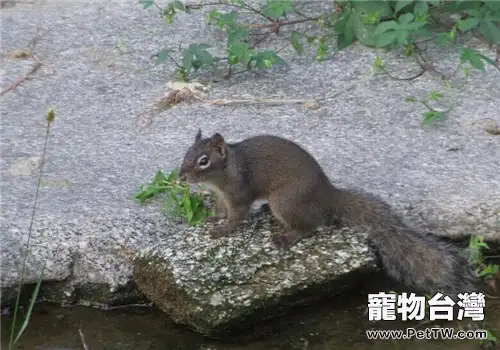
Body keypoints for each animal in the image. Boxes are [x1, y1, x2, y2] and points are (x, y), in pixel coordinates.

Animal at [179, 130, 476, 296]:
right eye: (186, 153)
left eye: (204, 161)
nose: (181, 176)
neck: (224, 174)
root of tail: (328, 194)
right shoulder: (221, 196)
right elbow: (221, 209)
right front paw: (214, 219)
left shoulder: (239, 194)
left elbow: (237, 216)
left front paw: (222, 230)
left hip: (285, 202)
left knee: (309, 225)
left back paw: (285, 238)